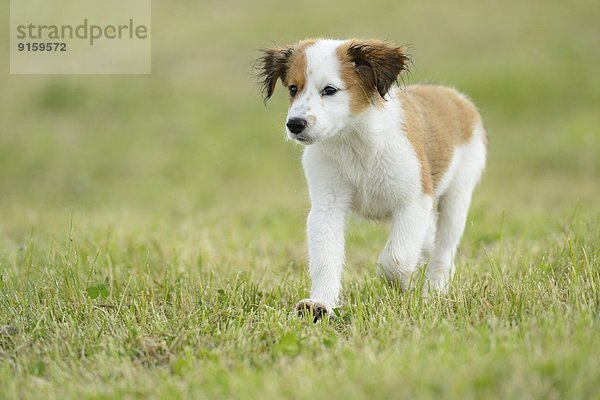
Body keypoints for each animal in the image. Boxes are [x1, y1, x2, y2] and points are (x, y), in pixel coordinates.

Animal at [254, 39, 488, 320]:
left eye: (329, 90)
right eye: (292, 88)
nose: (295, 124)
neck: (356, 143)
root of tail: (454, 96)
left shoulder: (414, 201)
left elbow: (396, 259)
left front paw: (404, 284)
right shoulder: (327, 206)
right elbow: (325, 258)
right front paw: (320, 304)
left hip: (457, 196)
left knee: (443, 251)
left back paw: (434, 292)